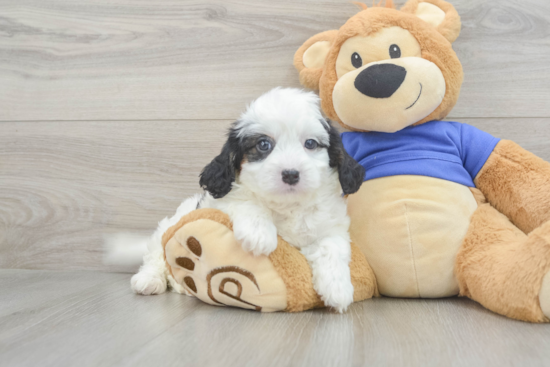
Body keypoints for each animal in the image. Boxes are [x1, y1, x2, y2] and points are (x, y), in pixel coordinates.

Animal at [132, 87, 366, 314]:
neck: (288, 204)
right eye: (263, 144)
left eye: (310, 143)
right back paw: (149, 280)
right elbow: (246, 200)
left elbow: (332, 247)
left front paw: (338, 289)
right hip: (169, 225)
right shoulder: (220, 200)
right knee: (156, 256)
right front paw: (259, 234)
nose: (291, 174)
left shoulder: (332, 226)